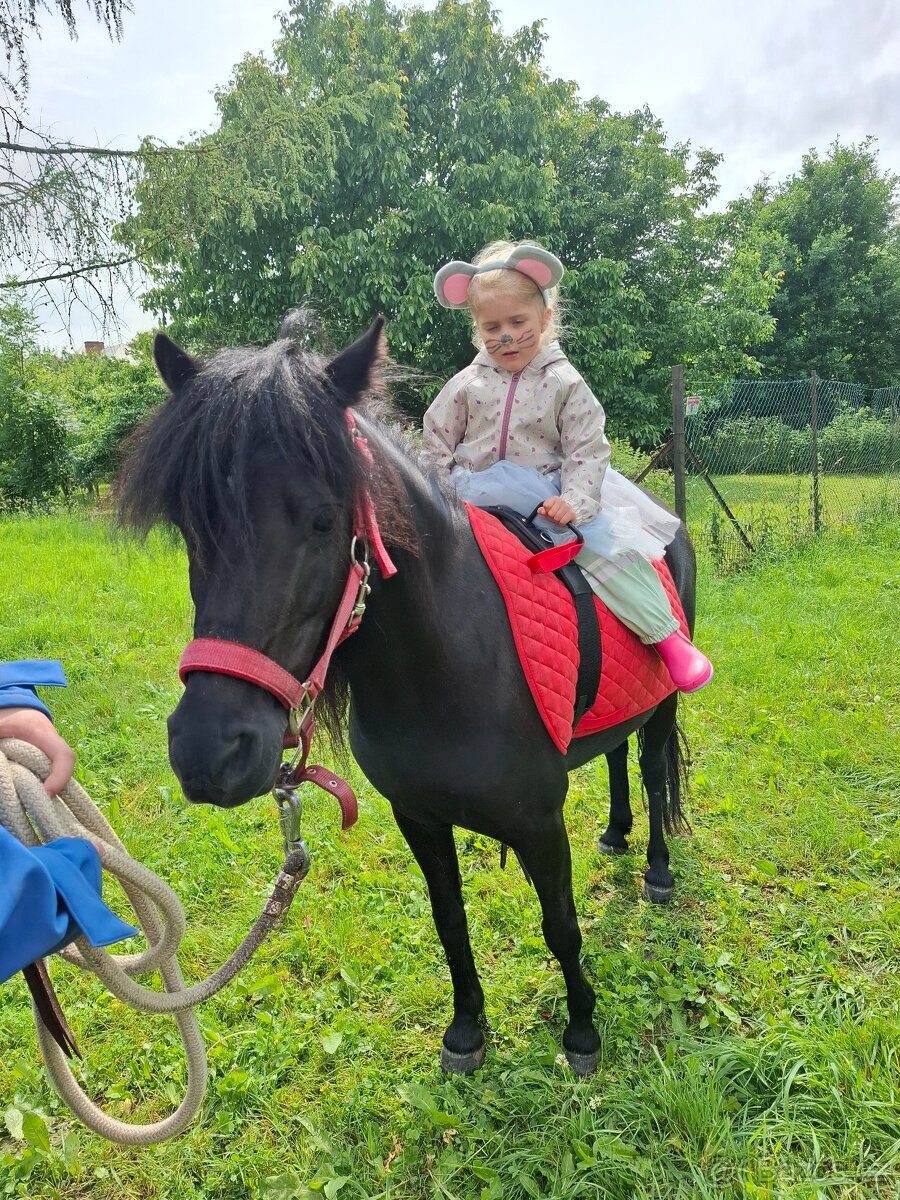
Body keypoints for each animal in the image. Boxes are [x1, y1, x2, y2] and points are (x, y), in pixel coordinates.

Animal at [117, 313, 694, 1076]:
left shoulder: (539, 821)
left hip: (663, 704)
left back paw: (655, 868)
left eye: (324, 521)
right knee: (618, 754)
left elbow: (561, 926)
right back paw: (617, 832)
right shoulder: (418, 817)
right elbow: (449, 919)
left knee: (654, 771)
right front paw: (467, 1028)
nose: (209, 751)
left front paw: (581, 1031)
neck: (453, 660)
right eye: (191, 525)